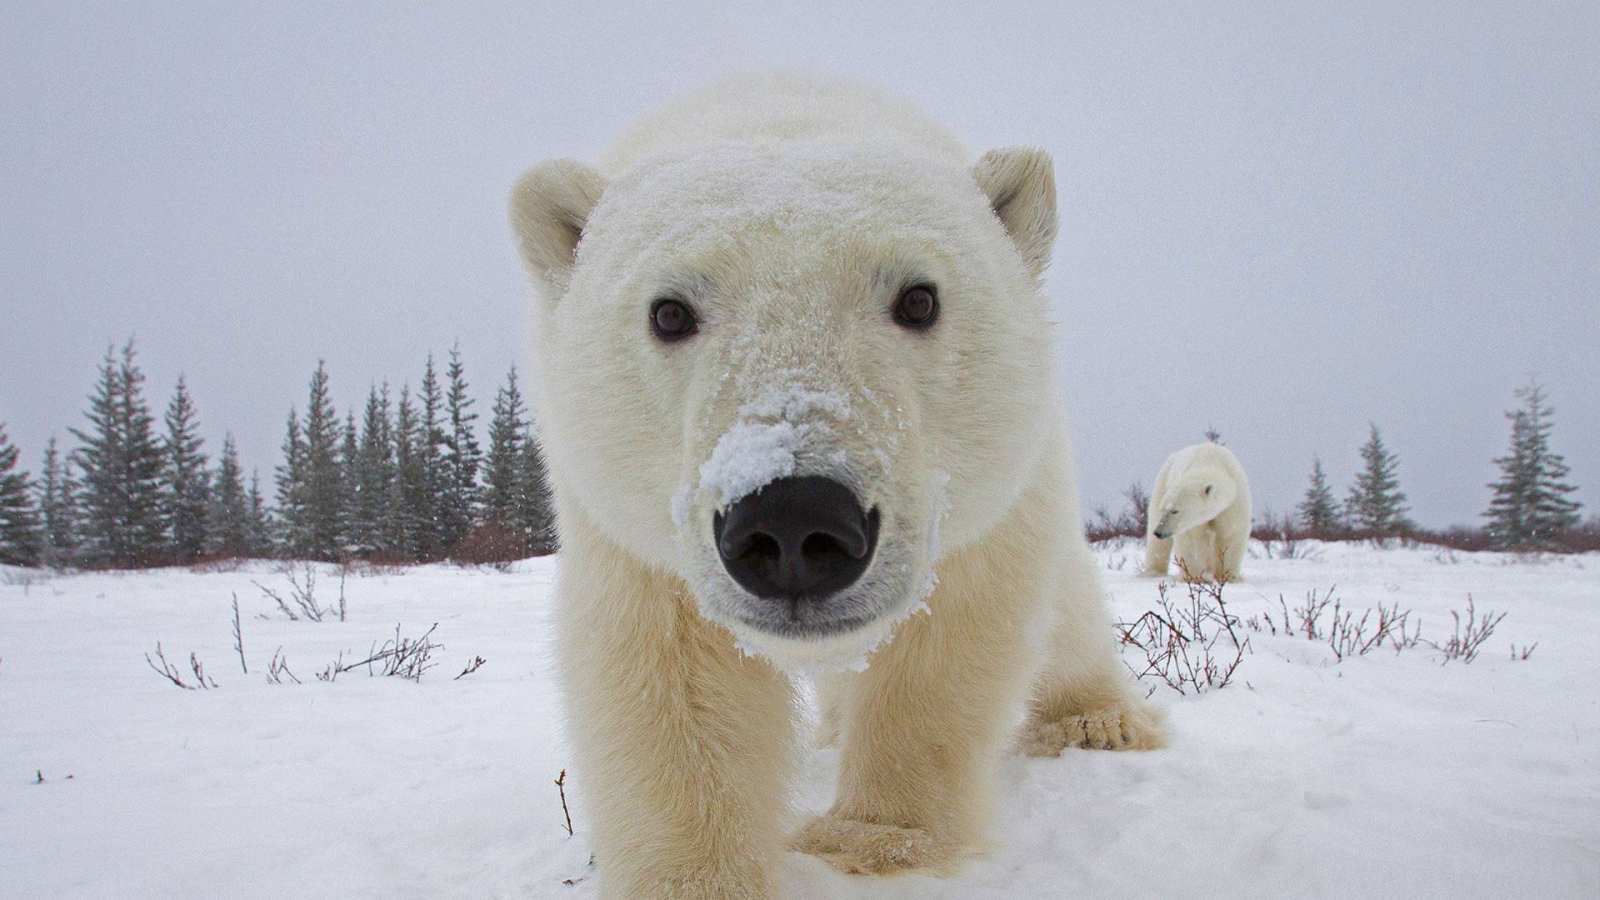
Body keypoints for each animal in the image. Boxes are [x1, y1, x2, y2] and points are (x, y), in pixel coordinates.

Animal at [508, 73, 1163, 898]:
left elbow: (948, 639)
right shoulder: (627, 525)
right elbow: (669, 676)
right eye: (668, 311)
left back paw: (1097, 720)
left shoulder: (983, 501)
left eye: (919, 298)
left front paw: (872, 841)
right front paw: (698, 876)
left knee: (1068, 606)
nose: (793, 521)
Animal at [1142, 442, 1252, 583]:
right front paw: (1194, 577)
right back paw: (1154, 572)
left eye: (1175, 511)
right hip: (1163, 480)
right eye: (1164, 509)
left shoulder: (1234, 503)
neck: (1210, 460)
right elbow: (1192, 541)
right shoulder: (1192, 523)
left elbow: (1230, 534)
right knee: (1157, 540)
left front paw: (1227, 577)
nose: (1158, 532)